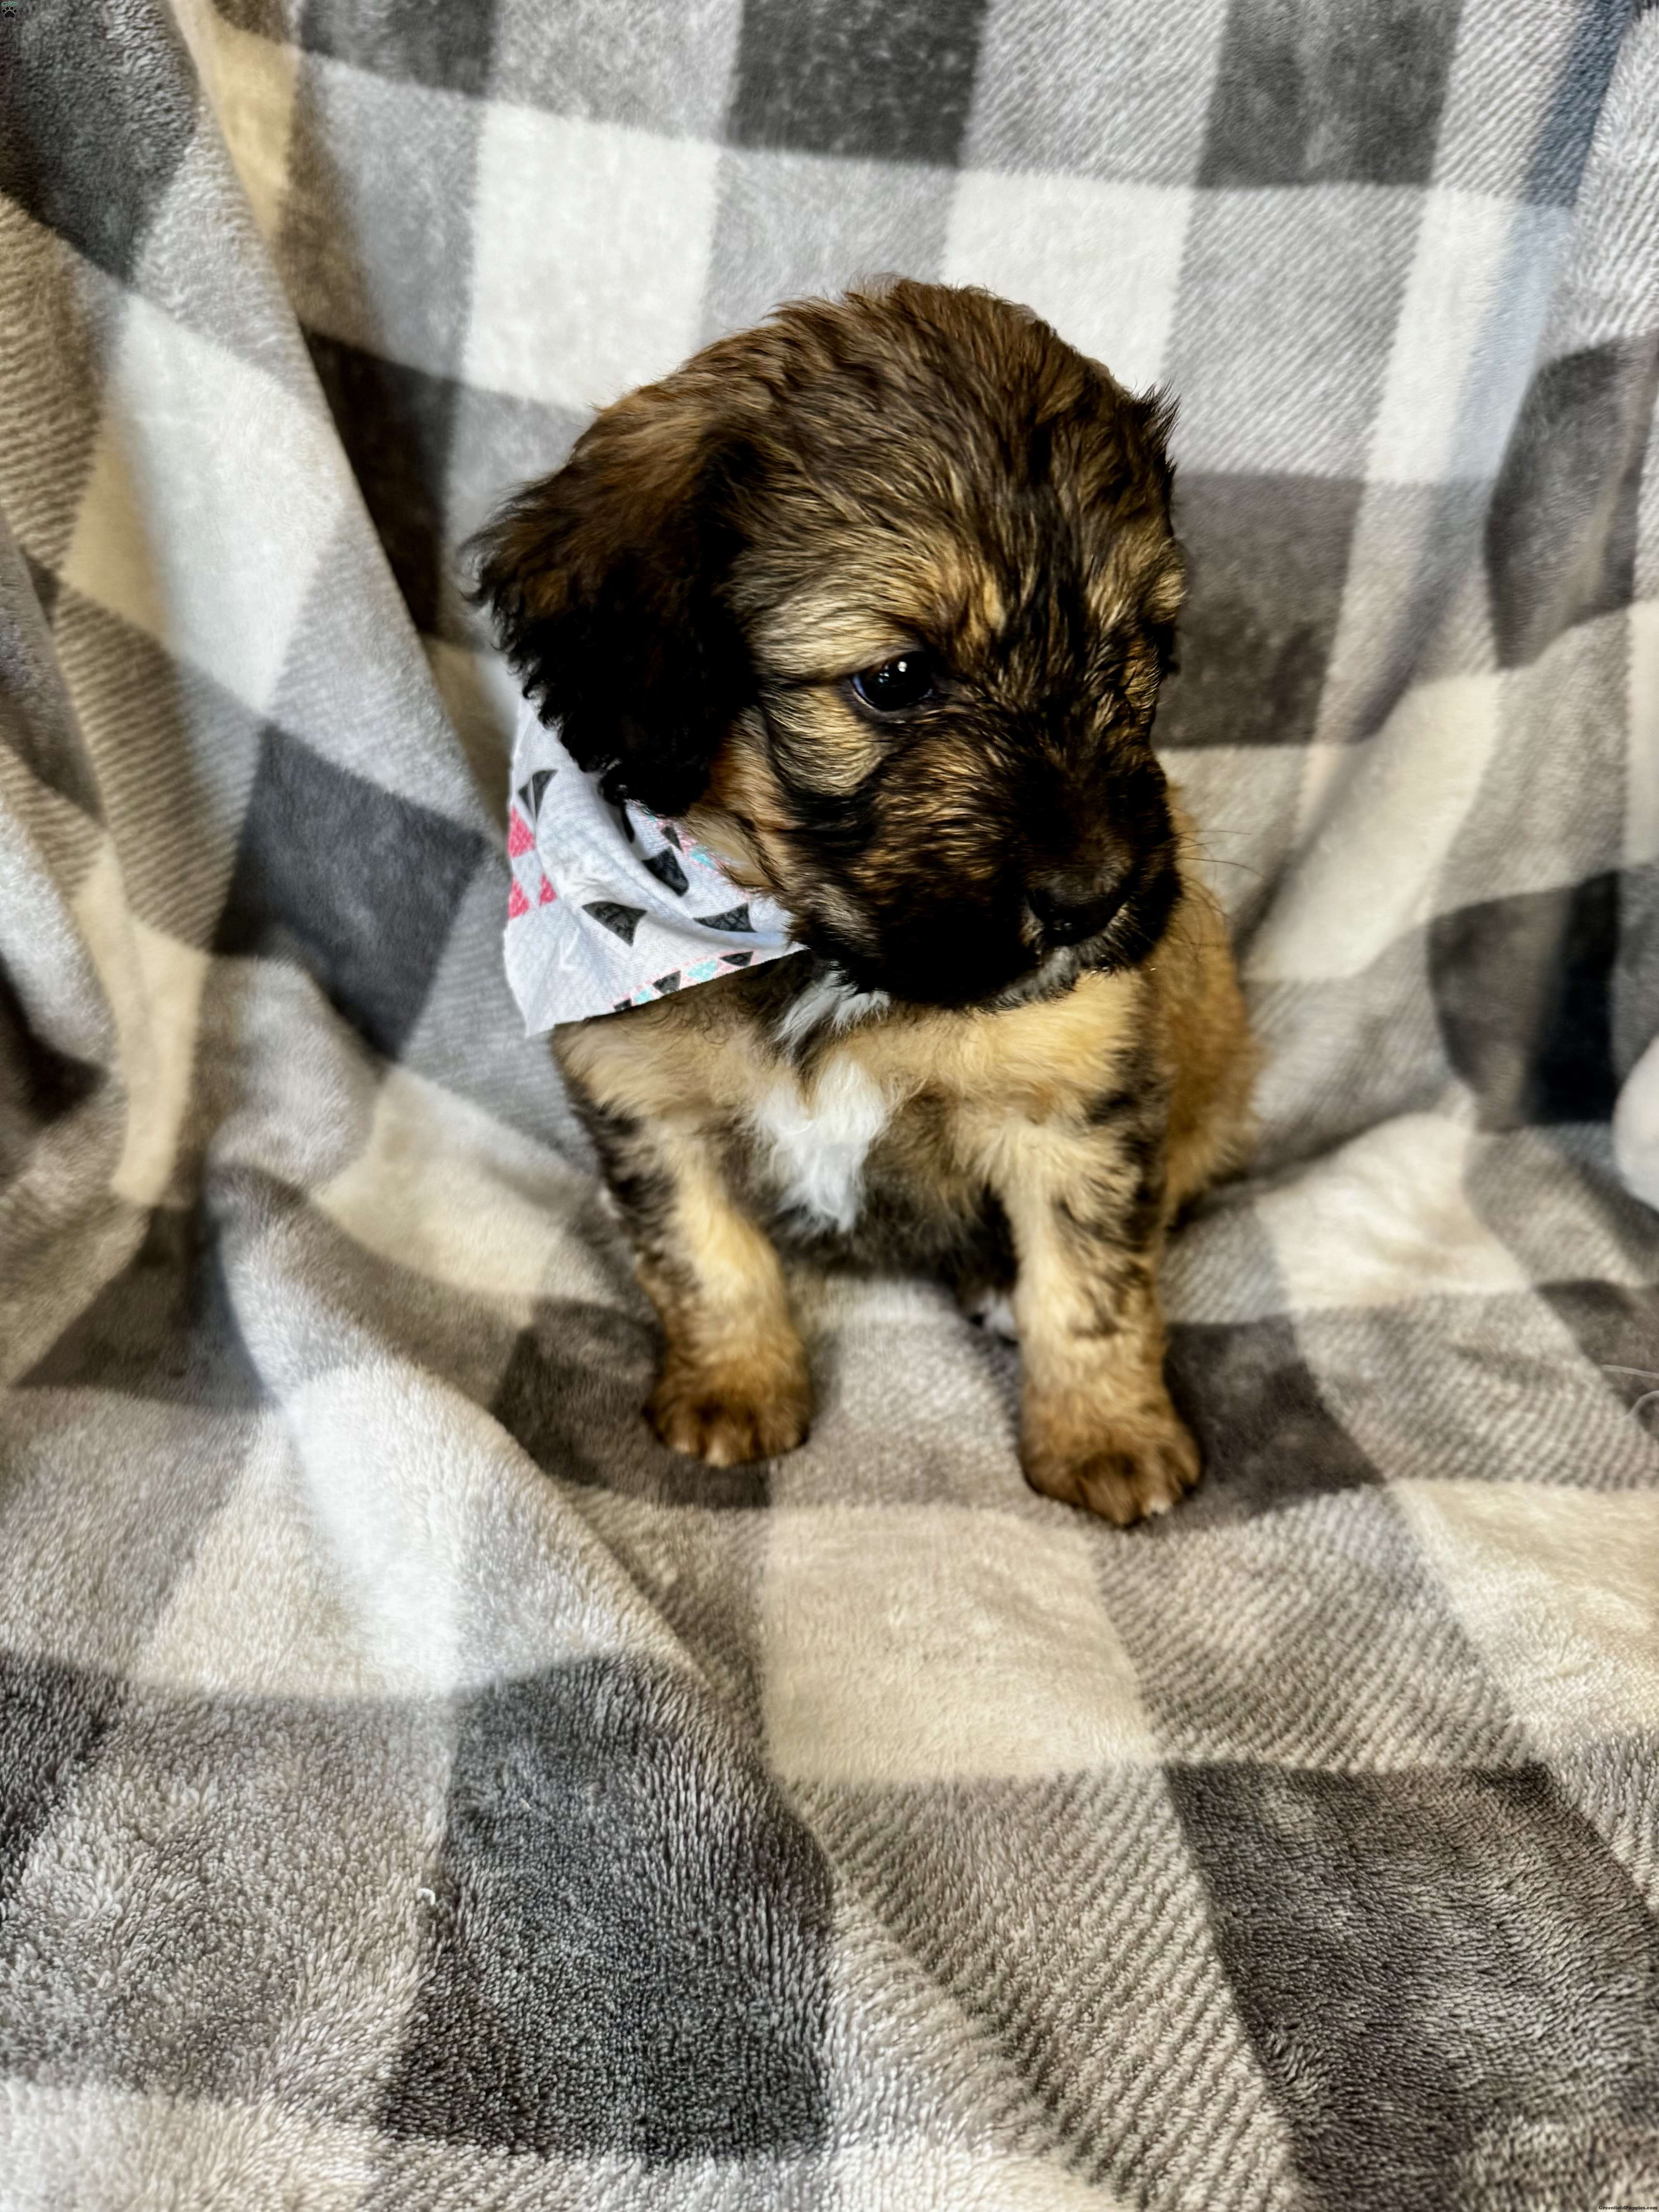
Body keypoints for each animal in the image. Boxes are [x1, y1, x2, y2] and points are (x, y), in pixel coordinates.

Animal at [474, 280, 1255, 1524]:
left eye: (1133, 654)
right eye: (894, 680)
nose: (1094, 899)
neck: (810, 955)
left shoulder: (1075, 1097)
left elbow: (1089, 1284)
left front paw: (1106, 1436)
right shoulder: (644, 1095)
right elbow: (705, 1253)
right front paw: (736, 1386)